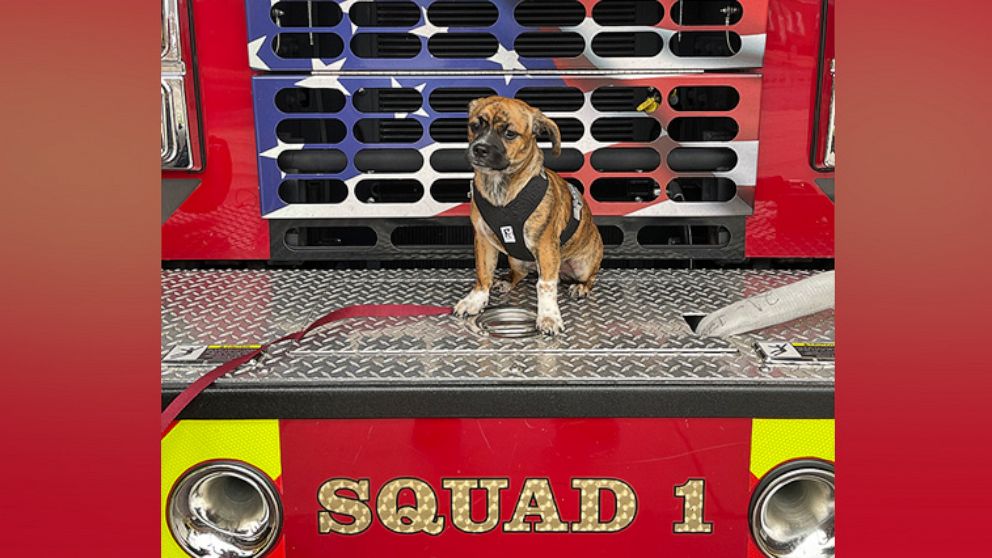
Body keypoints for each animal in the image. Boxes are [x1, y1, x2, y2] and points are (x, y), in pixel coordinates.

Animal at [452, 95, 604, 336]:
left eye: (509, 133)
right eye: (475, 125)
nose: (480, 148)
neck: (500, 188)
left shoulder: (546, 247)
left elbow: (545, 285)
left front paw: (548, 317)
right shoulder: (483, 240)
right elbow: (483, 273)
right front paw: (475, 301)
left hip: (584, 265)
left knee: (590, 278)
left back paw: (581, 287)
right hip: (516, 260)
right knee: (519, 274)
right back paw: (506, 281)